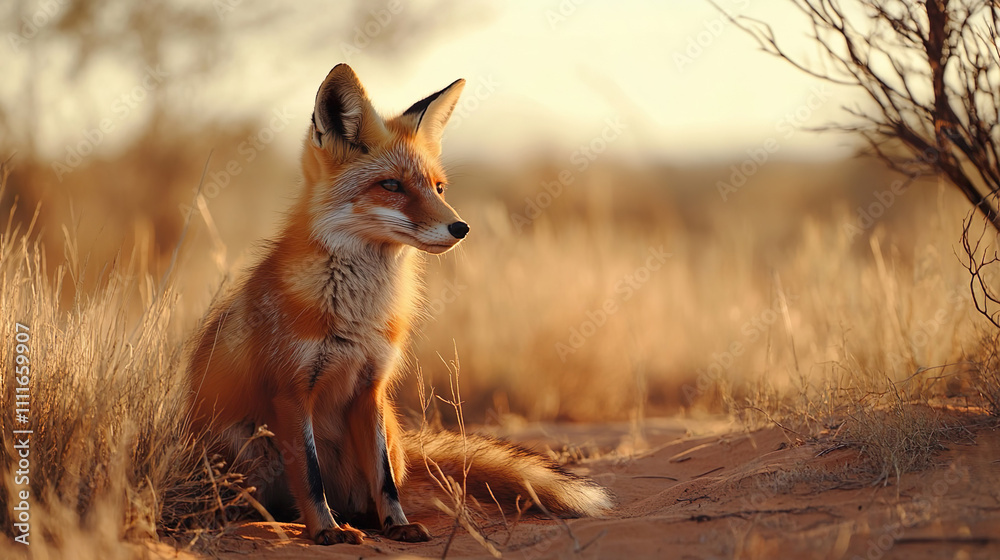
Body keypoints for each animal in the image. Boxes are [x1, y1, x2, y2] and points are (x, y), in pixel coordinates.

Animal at [185, 64, 612, 546]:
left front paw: (396, 525)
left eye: (439, 188)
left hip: (387, 428)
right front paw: (326, 531)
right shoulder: (291, 393)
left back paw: (363, 519)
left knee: (379, 484)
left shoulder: (371, 388)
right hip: (243, 442)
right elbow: (310, 478)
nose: (461, 227)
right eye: (391, 185)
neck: (357, 314)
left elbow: (385, 480)